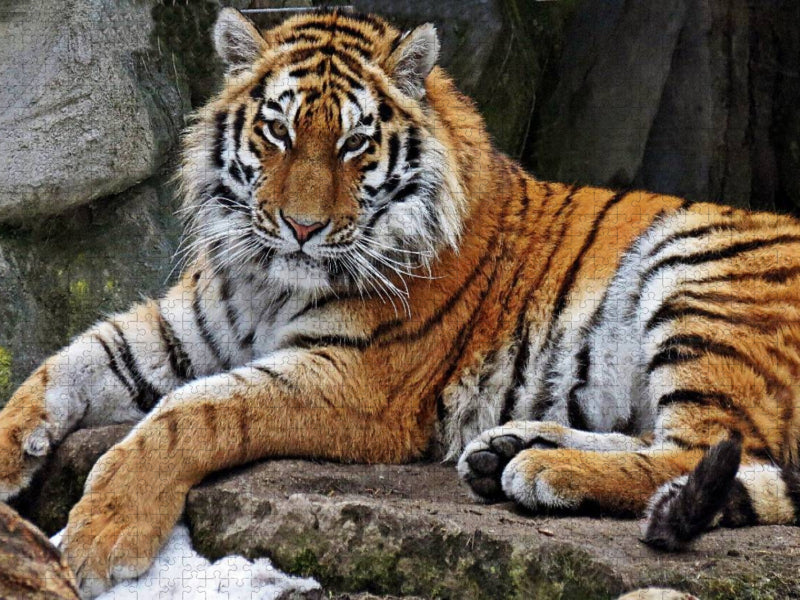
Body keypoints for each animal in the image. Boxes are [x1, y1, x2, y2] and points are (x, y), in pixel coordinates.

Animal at [1, 7, 799, 597]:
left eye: (355, 143)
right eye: (279, 130)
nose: (301, 227)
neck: (268, 279)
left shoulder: (356, 381)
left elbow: (193, 413)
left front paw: (101, 534)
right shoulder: (178, 327)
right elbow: (61, 365)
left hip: (698, 276)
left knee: (710, 449)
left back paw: (545, 471)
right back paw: (508, 449)